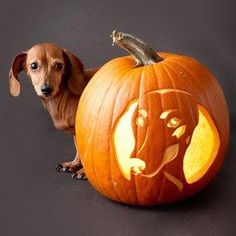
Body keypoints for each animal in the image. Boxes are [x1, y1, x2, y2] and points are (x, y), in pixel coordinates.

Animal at [9, 43, 98, 179]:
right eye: (33, 65)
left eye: (59, 66)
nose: (46, 89)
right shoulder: (76, 133)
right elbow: (78, 149)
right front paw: (74, 164)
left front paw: (85, 172)